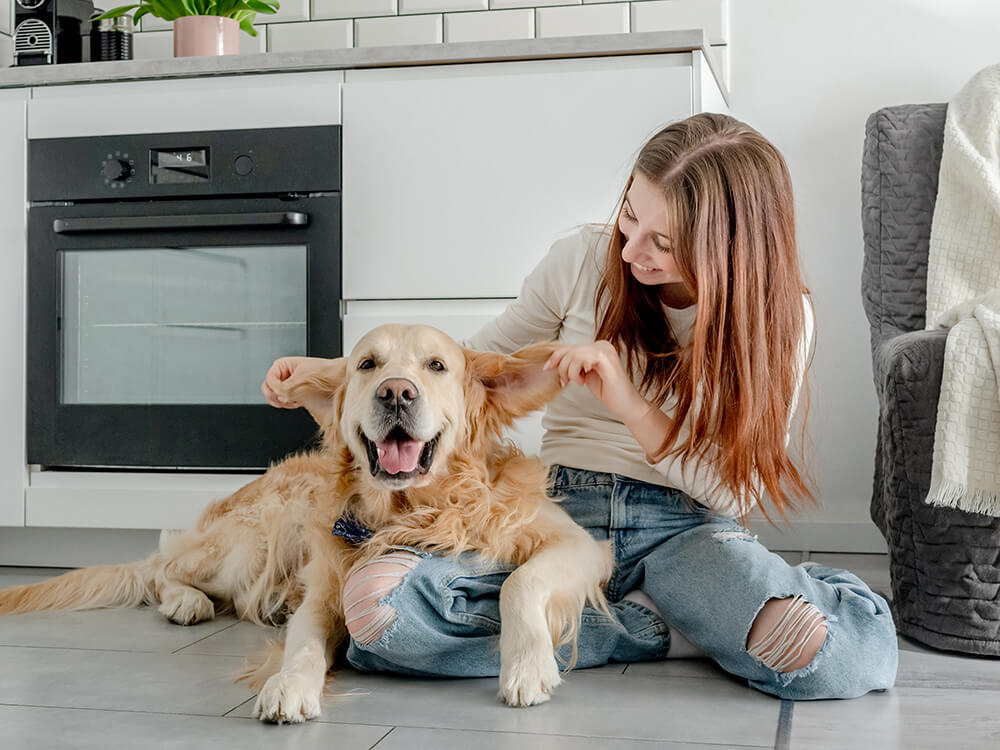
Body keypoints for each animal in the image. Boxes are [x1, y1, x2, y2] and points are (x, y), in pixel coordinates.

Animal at [0, 326, 608, 724]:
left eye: (437, 366)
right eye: (367, 365)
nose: (396, 392)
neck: (413, 511)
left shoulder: (578, 543)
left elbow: (518, 581)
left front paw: (526, 666)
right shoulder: (323, 589)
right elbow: (303, 644)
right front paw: (289, 685)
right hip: (248, 549)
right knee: (163, 567)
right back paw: (186, 601)